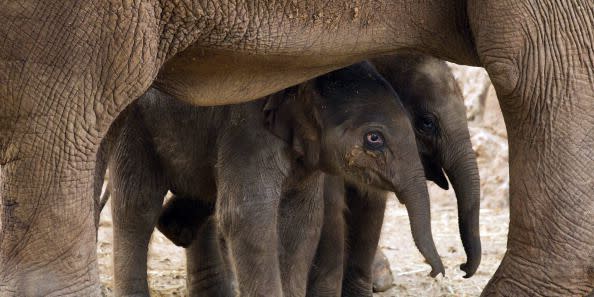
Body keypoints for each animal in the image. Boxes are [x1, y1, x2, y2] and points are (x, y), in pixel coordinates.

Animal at [100, 61, 440, 294]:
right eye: (374, 139)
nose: (438, 272)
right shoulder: (247, 134)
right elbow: (247, 218)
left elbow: (303, 222)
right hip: (134, 129)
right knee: (136, 207)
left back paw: (176, 227)